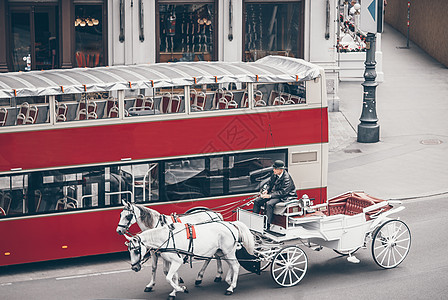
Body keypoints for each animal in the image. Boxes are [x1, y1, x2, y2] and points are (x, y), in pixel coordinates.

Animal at [124, 219, 254, 298]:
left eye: (136, 250)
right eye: (129, 250)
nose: (134, 268)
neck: (166, 238)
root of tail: (231, 224)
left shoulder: (177, 261)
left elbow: (169, 278)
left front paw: (181, 289)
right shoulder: (172, 261)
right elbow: (172, 276)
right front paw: (175, 291)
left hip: (228, 251)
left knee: (235, 266)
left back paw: (231, 287)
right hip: (222, 252)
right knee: (232, 265)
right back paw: (229, 280)